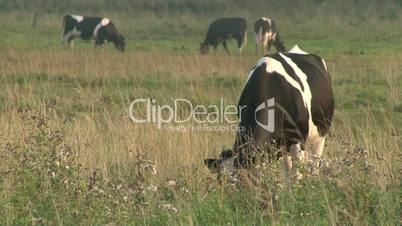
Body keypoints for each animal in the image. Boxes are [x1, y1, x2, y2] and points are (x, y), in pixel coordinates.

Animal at [206, 45, 334, 182]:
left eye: (243, 180)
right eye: (220, 180)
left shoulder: (298, 142)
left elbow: (297, 175)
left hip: (319, 136)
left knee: (313, 164)